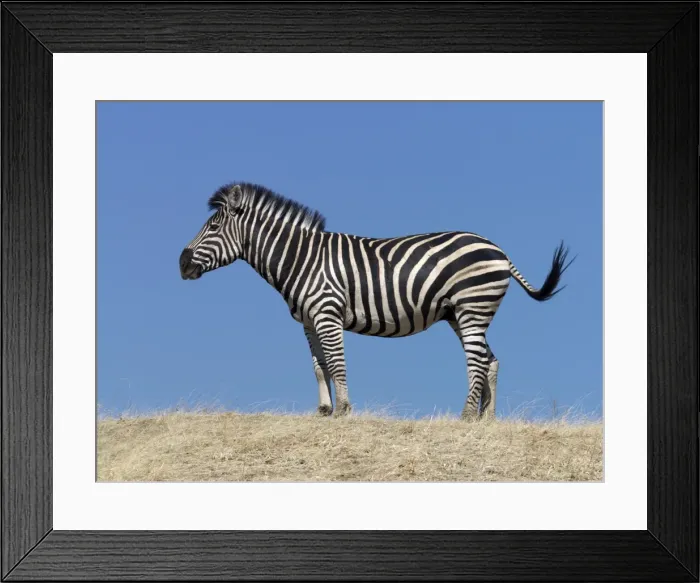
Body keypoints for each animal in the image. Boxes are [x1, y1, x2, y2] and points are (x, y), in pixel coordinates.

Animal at [179, 182, 573, 420]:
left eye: (212, 228)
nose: (181, 264)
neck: (301, 259)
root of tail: (499, 251)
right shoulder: (307, 321)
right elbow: (318, 366)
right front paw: (324, 411)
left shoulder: (327, 313)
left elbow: (336, 362)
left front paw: (344, 410)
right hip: (461, 315)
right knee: (491, 361)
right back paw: (486, 421)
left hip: (471, 308)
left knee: (477, 362)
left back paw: (464, 417)